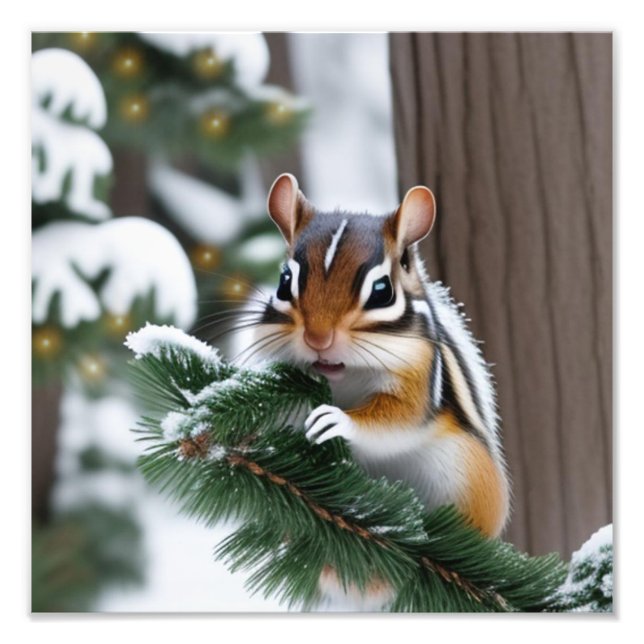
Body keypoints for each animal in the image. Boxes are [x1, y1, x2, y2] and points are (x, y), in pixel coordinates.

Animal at [252, 173, 511, 606]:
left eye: (381, 290)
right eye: (285, 283)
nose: (318, 338)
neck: (344, 378)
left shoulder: (419, 377)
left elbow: (397, 420)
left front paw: (335, 421)